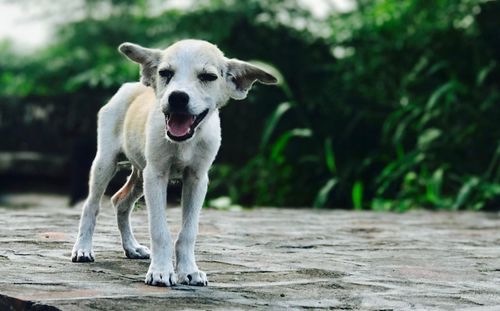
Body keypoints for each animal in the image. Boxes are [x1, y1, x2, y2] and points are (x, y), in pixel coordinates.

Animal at [70, 39, 278, 288]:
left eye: (208, 77)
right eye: (165, 73)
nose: (177, 97)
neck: (185, 142)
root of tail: (134, 85)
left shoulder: (197, 179)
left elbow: (188, 232)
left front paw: (189, 271)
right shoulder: (157, 176)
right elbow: (159, 230)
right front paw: (161, 271)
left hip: (141, 174)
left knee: (120, 201)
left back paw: (131, 247)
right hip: (106, 162)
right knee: (91, 205)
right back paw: (83, 249)